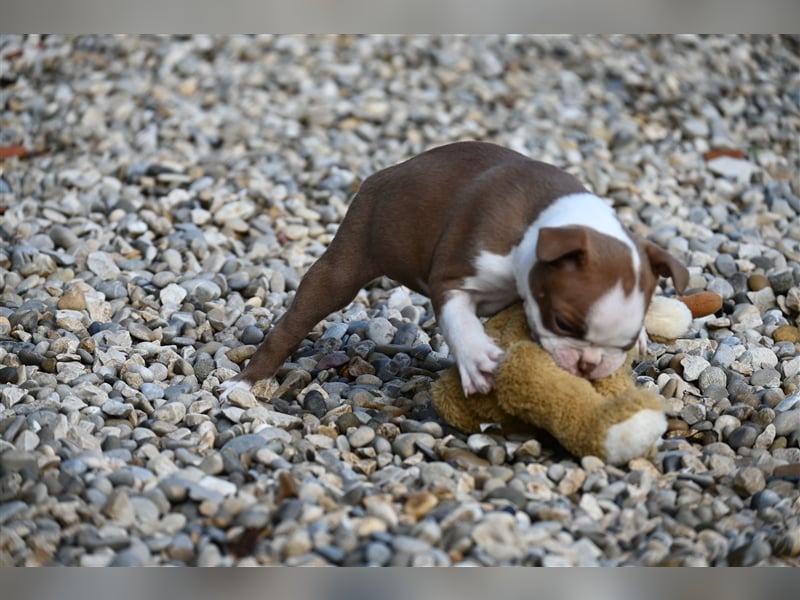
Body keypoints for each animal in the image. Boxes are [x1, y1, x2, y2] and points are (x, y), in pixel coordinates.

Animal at [219, 141, 688, 400]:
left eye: (622, 343)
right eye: (563, 323)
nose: (588, 365)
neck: (545, 221)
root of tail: (386, 173)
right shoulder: (454, 276)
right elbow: (460, 318)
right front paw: (477, 358)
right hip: (346, 260)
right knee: (296, 319)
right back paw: (247, 382)